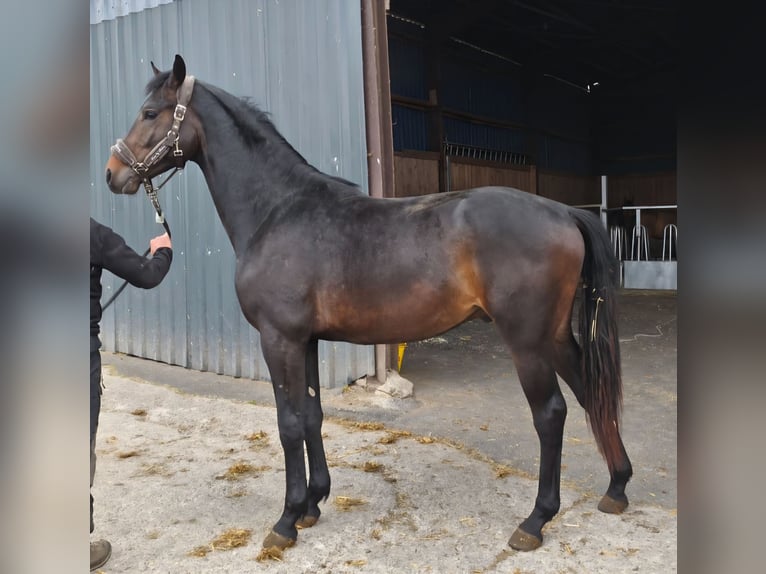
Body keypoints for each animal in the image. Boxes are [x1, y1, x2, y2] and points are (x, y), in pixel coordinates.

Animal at [104, 55, 632, 553]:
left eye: (149, 112)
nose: (113, 174)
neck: (278, 211)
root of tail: (562, 211)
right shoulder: (306, 340)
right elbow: (312, 415)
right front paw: (313, 504)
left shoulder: (279, 339)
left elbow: (288, 422)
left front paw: (286, 520)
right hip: (556, 336)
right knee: (591, 393)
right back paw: (617, 487)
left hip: (528, 342)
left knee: (551, 413)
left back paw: (535, 521)